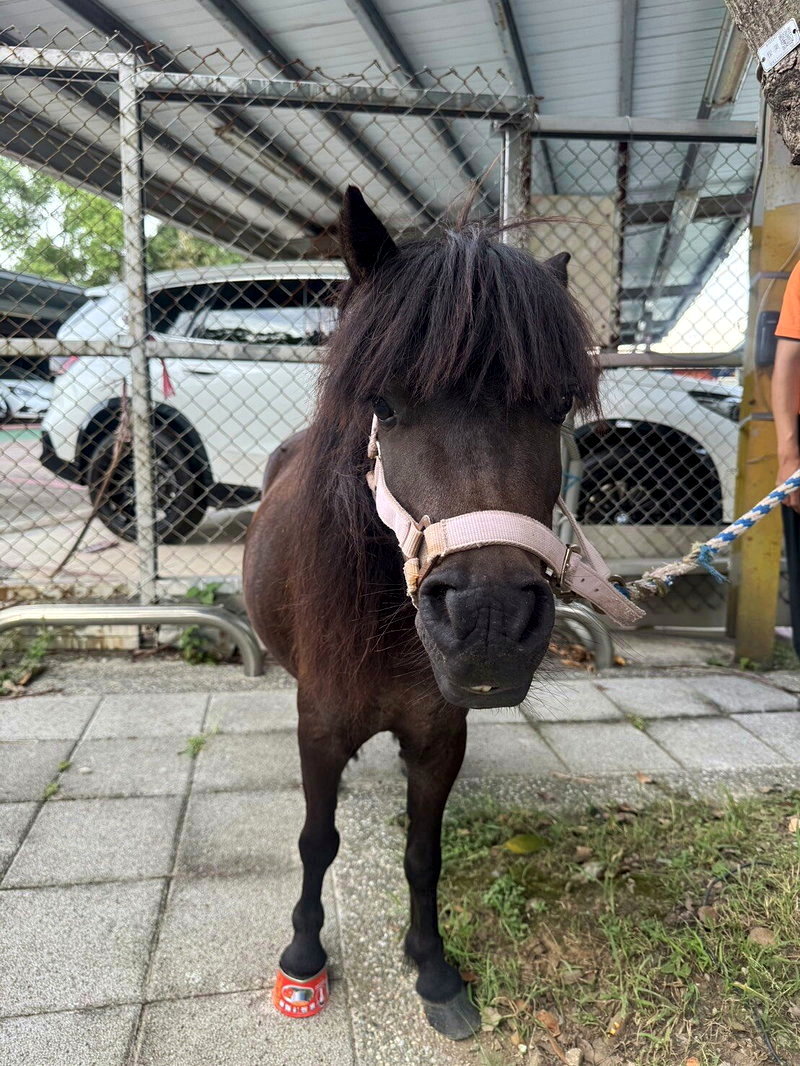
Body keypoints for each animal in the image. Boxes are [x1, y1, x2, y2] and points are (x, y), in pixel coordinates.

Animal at [243, 186, 604, 1039]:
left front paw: (432, 966)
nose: (488, 624)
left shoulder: (441, 733)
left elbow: (422, 852)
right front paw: (303, 957)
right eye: (384, 402)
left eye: (554, 406)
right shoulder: (320, 724)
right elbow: (317, 840)